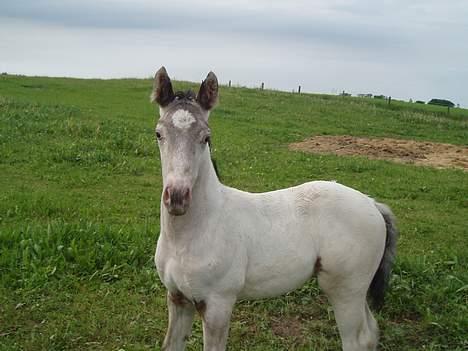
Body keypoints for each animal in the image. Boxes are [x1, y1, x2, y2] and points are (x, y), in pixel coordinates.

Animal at [152, 67, 396, 350]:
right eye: (159, 134)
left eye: (206, 137)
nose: (177, 197)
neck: (192, 234)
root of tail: (372, 204)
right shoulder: (178, 298)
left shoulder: (217, 305)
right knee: (371, 333)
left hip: (346, 291)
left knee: (357, 339)